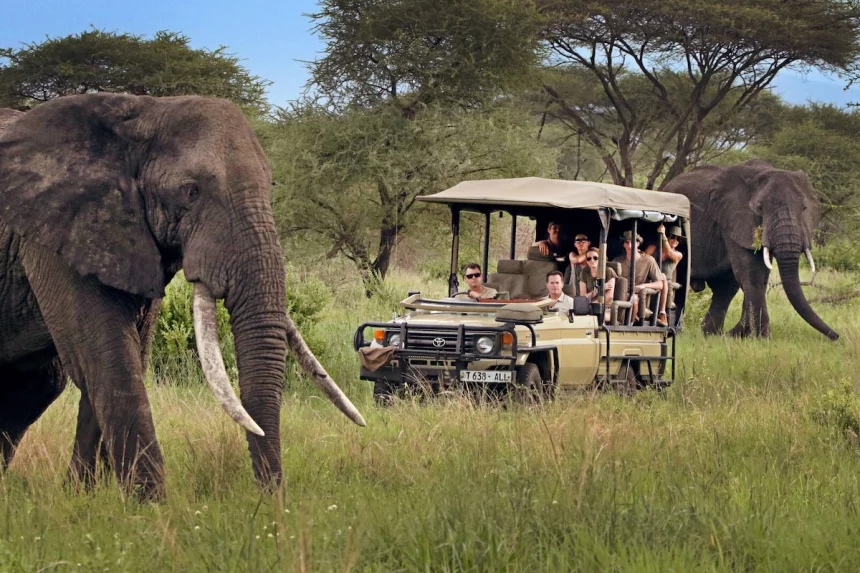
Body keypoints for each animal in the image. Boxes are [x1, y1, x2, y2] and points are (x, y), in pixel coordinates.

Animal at [0, 93, 366, 500]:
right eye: (191, 191)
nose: (272, 501)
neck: (143, 111)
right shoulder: (54, 231)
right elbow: (106, 360)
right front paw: (149, 506)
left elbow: (127, 356)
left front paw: (85, 499)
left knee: (33, 387)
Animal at [663, 159, 839, 340]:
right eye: (760, 208)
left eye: (804, 209)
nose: (836, 336)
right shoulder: (733, 220)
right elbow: (751, 273)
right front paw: (763, 338)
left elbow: (760, 276)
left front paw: (744, 335)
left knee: (725, 288)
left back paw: (711, 333)